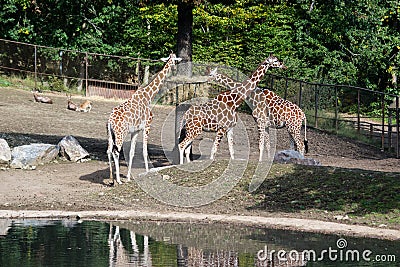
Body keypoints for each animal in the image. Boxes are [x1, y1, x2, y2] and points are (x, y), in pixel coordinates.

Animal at [106, 53, 181, 185]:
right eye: (175, 61)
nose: (175, 69)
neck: (149, 95)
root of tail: (110, 121)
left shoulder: (135, 130)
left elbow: (131, 152)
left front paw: (129, 177)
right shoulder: (147, 126)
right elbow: (145, 152)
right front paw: (147, 172)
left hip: (110, 133)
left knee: (109, 151)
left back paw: (111, 179)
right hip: (120, 134)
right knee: (116, 151)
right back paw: (118, 181)